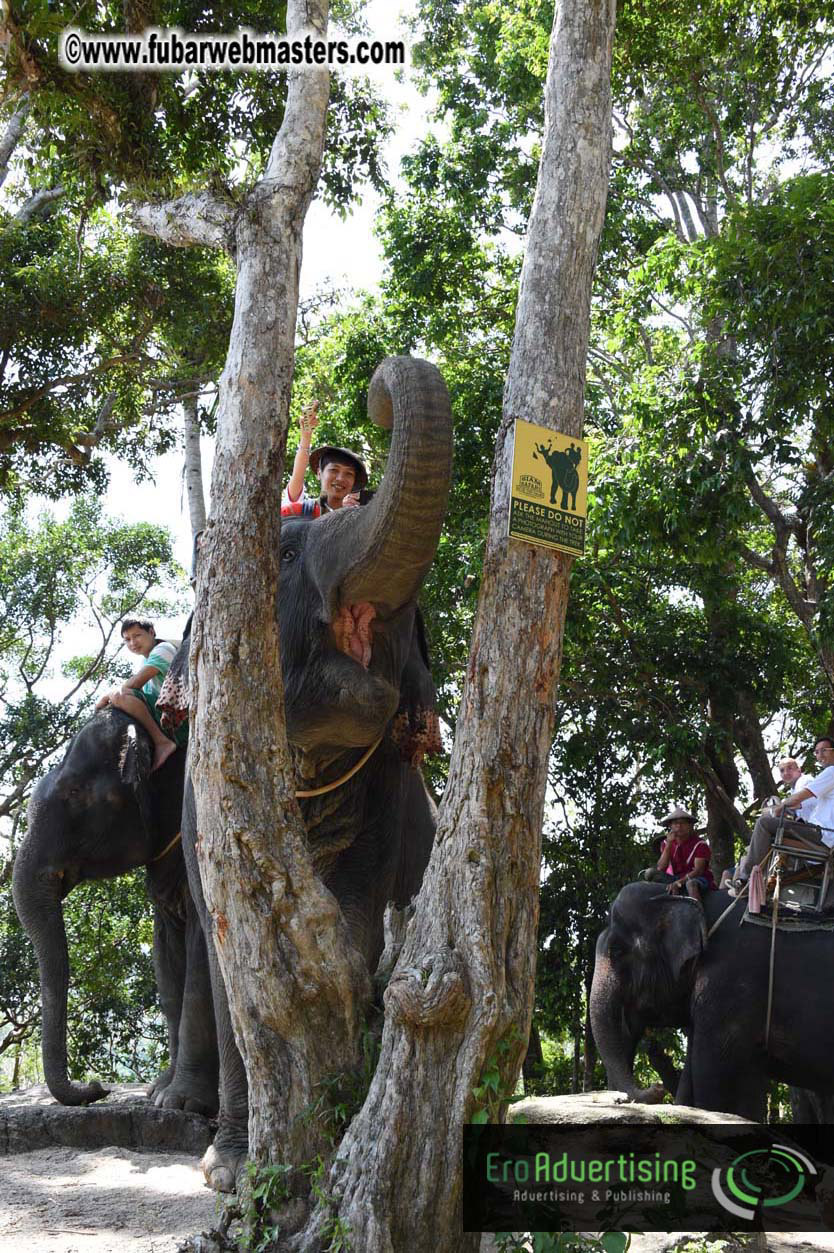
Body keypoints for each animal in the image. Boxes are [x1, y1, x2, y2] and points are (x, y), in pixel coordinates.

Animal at [12, 714, 218, 1113]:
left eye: (75, 793)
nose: (98, 1087)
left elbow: (202, 944)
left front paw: (180, 1104)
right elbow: (165, 954)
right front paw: (158, 1092)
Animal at [164, 354, 453, 1190]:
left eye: (410, 622)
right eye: (287, 557)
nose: (380, 399)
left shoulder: (388, 788)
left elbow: (353, 924)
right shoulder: (201, 796)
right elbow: (229, 956)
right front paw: (228, 1166)